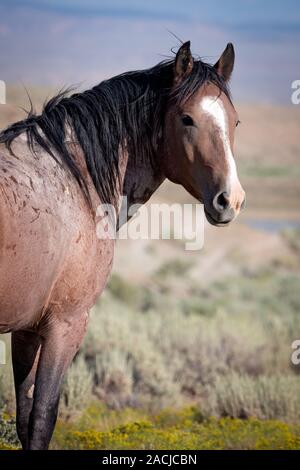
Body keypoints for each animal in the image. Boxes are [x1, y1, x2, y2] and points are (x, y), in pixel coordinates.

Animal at [0, 42, 245, 450]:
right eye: (187, 119)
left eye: (235, 121)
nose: (231, 200)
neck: (76, 181)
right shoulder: (66, 325)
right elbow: (42, 419)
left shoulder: (26, 330)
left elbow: (23, 419)